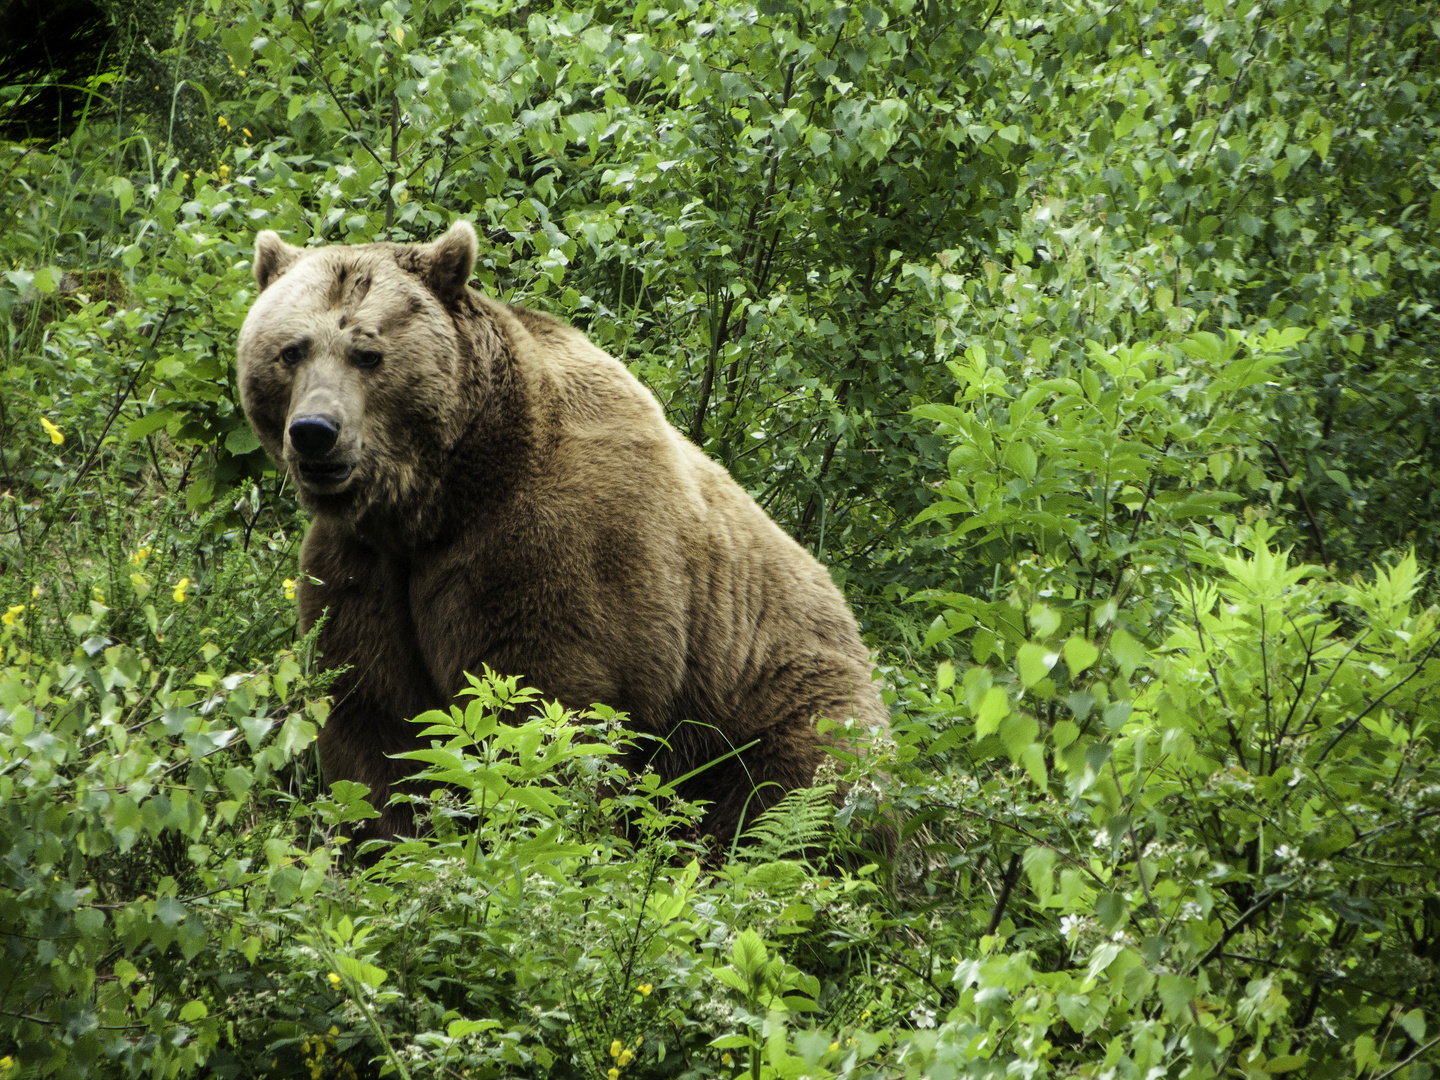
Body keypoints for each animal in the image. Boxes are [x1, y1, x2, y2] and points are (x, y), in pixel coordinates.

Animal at [237, 220, 887, 846]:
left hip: (769, 690)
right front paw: (384, 842)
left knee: (807, 785)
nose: (315, 431)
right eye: (291, 351)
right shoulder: (362, 567)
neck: (440, 499)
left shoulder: (555, 545)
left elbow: (543, 707)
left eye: (367, 353)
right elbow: (375, 728)